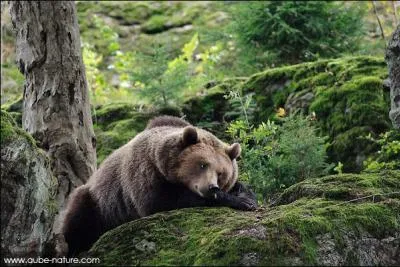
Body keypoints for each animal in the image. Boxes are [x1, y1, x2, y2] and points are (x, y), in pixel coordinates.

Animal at [61, 116, 256, 256]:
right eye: (202, 164)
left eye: (221, 173)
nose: (211, 188)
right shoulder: (145, 173)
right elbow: (160, 201)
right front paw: (239, 201)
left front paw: (246, 196)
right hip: (98, 203)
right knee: (79, 220)